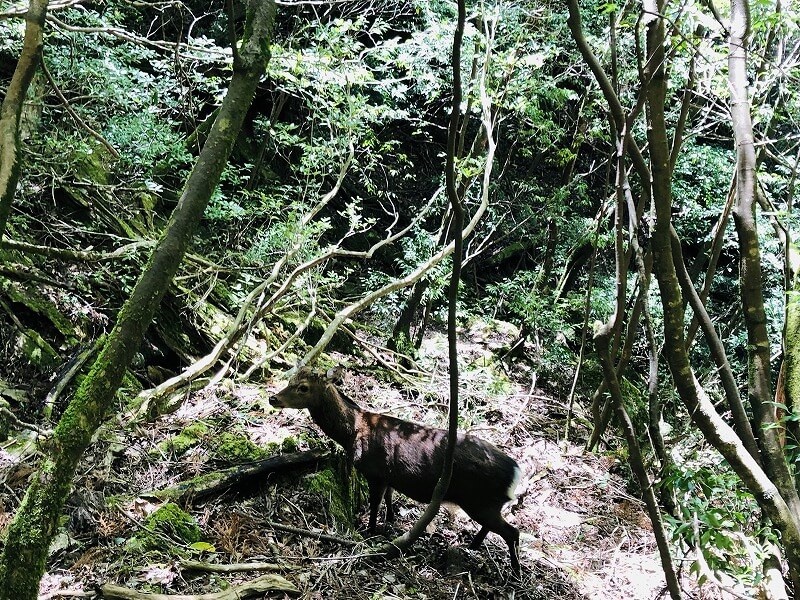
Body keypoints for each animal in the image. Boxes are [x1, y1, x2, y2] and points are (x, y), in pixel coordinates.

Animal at [268, 364, 520, 576]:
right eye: (290, 379)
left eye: (303, 387)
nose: (273, 398)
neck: (352, 433)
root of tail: (515, 471)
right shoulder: (389, 475)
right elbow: (389, 498)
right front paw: (390, 519)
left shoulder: (374, 472)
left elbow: (374, 504)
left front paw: (369, 531)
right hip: (487, 503)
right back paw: (474, 545)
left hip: (479, 500)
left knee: (512, 532)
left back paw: (515, 572)